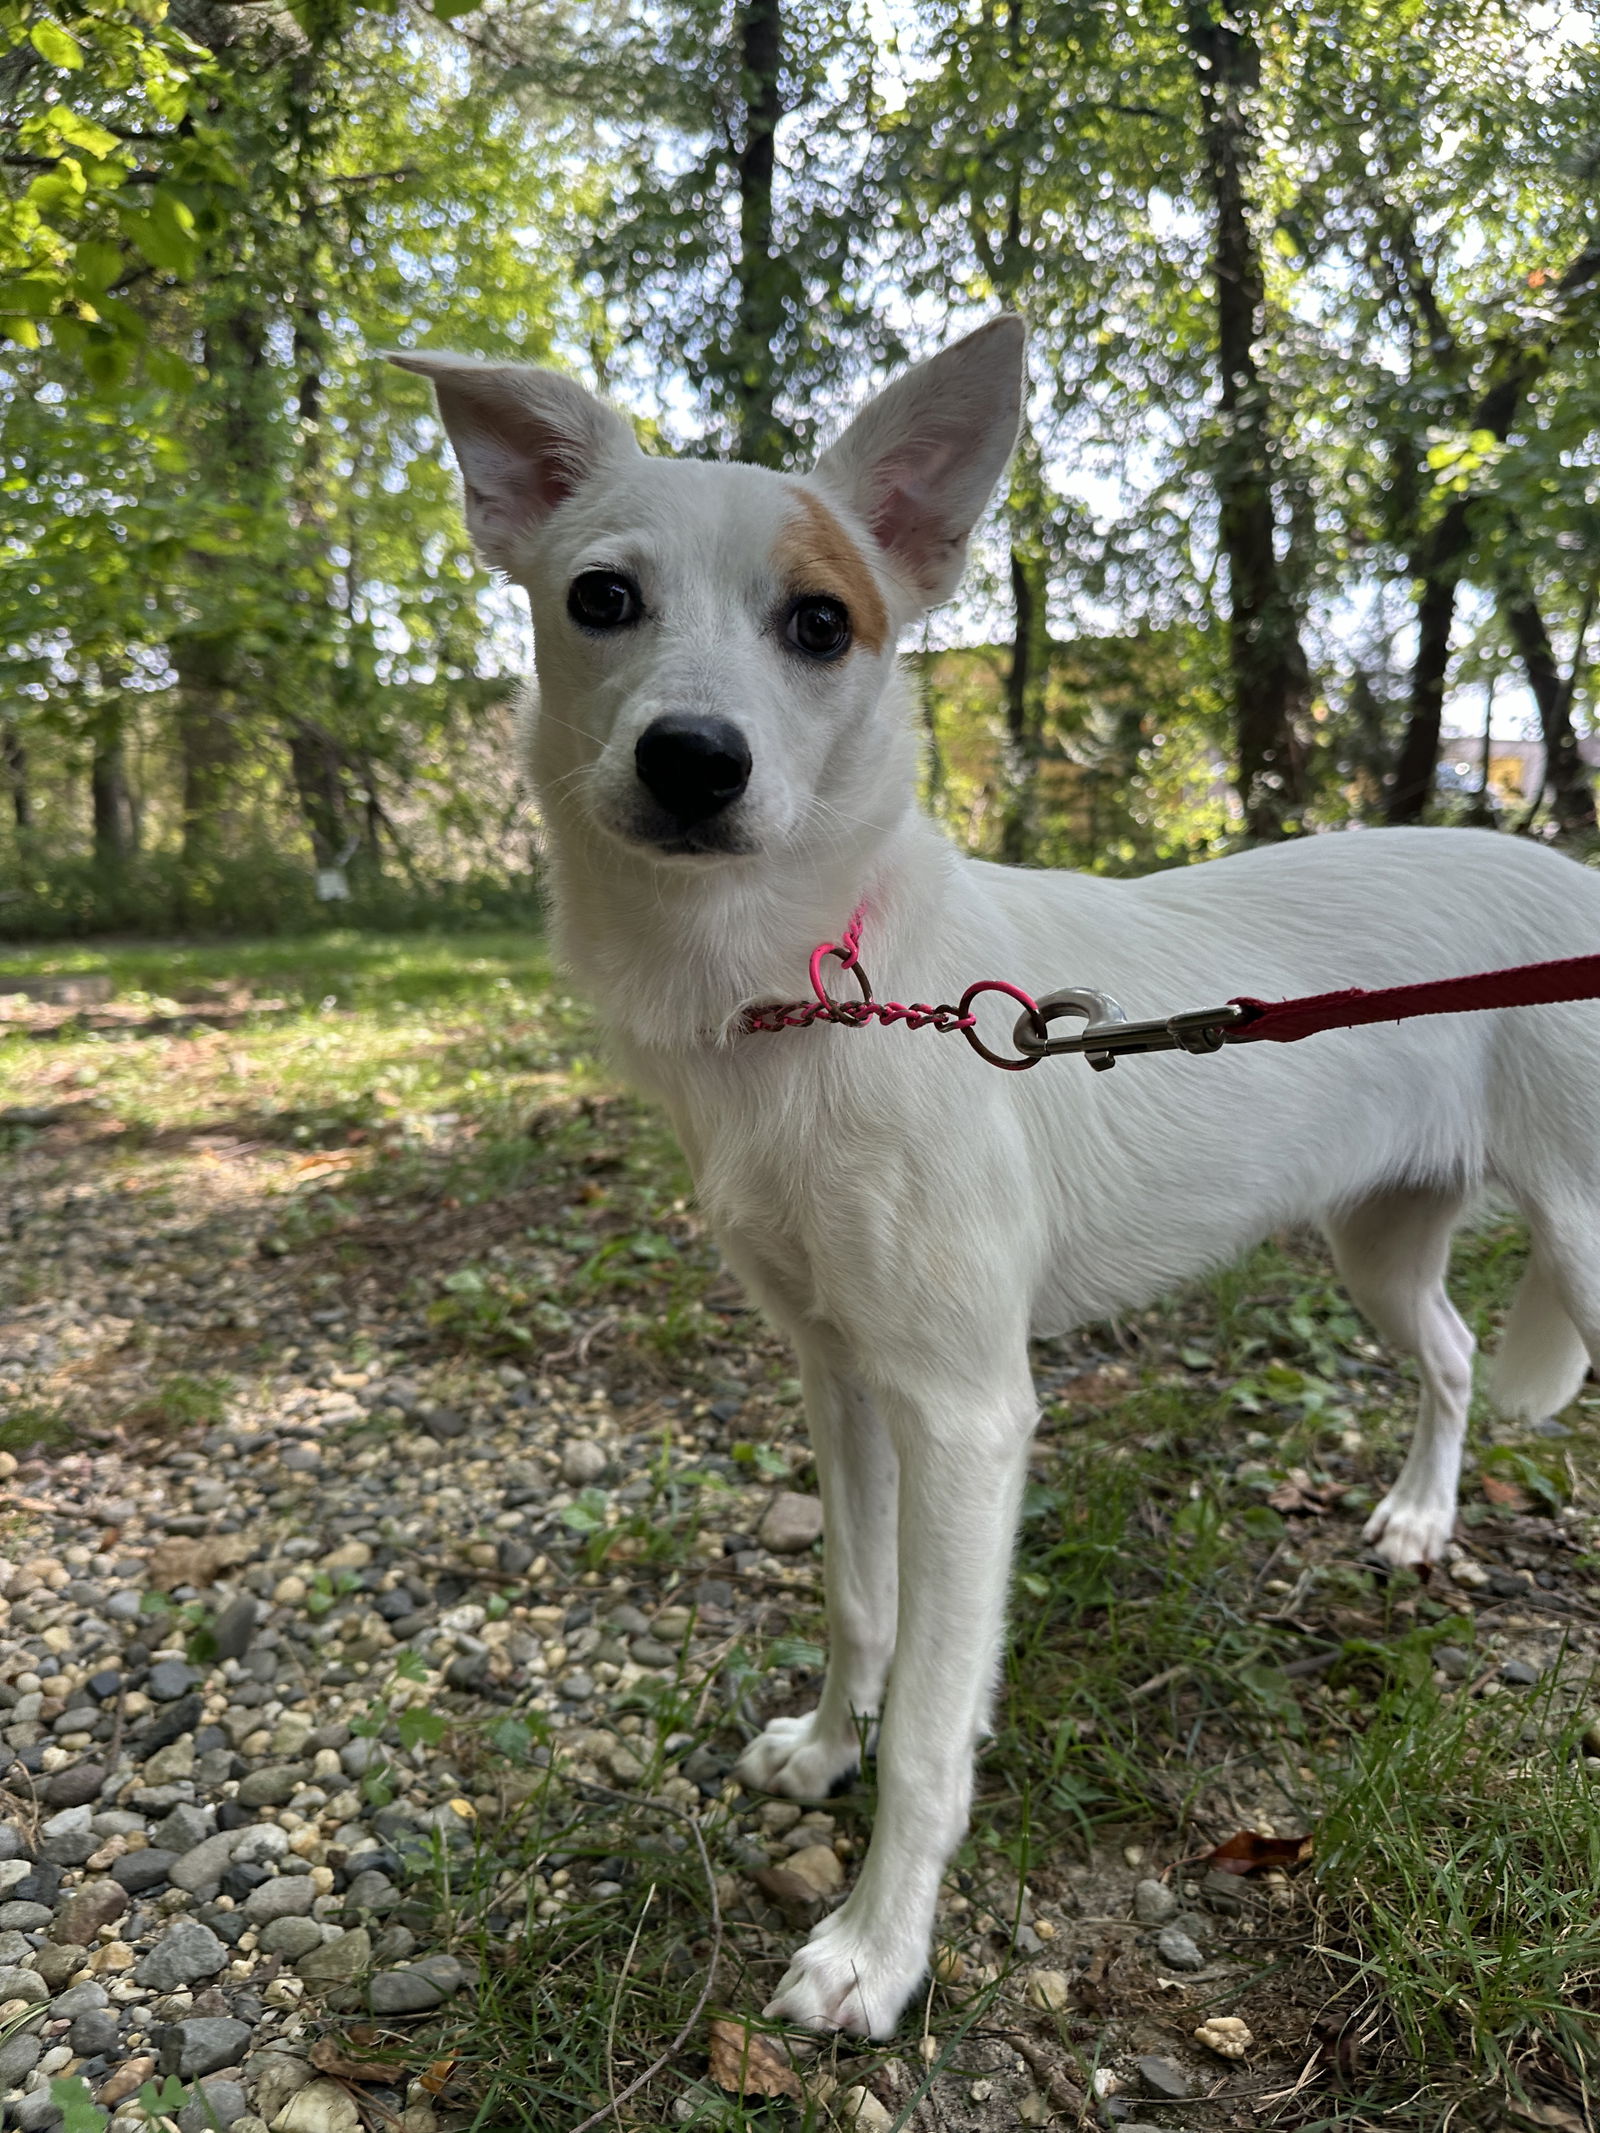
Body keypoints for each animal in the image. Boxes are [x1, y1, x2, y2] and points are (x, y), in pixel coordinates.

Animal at [394, 315, 1600, 2030]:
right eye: (602, 598)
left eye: (822, 623)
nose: (693, 761)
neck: (810, 991)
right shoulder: (840, 1372)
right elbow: (861, 1603)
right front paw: (825, 1746)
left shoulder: (968, 1414)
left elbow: (931, 1723)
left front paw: (875, 1947)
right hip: (1380, 1239)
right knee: (1442, 1358)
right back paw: (1423, 1522)